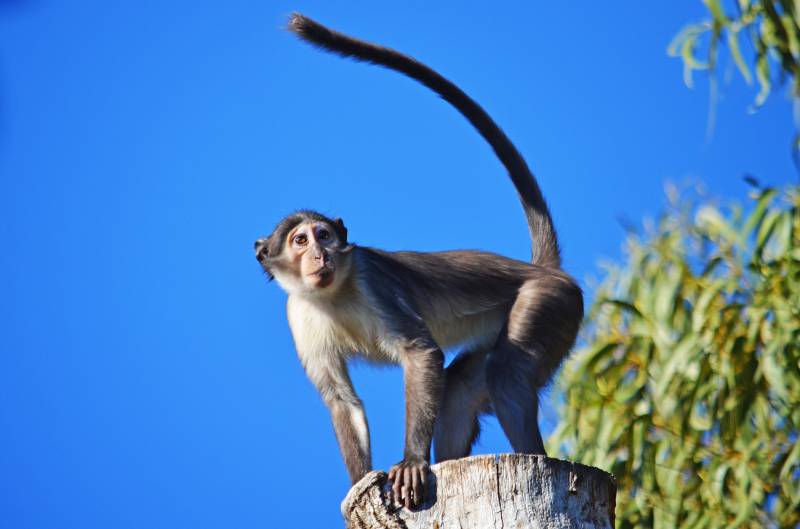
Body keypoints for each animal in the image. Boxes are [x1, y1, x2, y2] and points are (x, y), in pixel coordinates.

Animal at [255, 12, 580, 508]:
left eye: (324, 235)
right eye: (299, 240)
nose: (319, 253)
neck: (332, 294)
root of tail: (542, 269)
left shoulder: (371, 280)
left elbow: (421, 353)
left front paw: (410, 462)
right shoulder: (297, 313)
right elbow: (342, 401)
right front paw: (359, 486)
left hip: (550, 301)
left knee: (506, 373)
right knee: (462, 387)